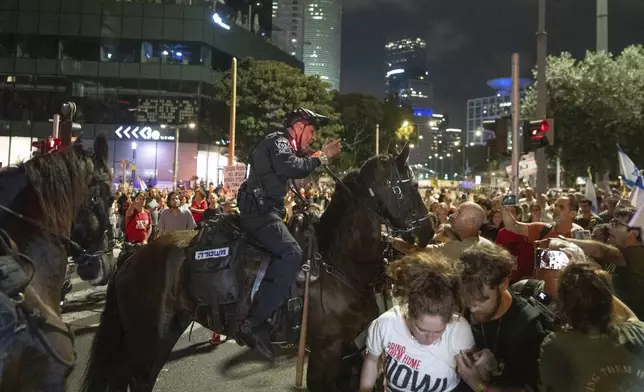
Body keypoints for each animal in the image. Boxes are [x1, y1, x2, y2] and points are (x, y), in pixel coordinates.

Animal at [82, 145, 432, 392]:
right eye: (410, 186)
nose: (428, 231)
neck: (339, 262)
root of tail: (133, 257)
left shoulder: (350, 353)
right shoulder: (325, 352)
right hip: (148, 336)